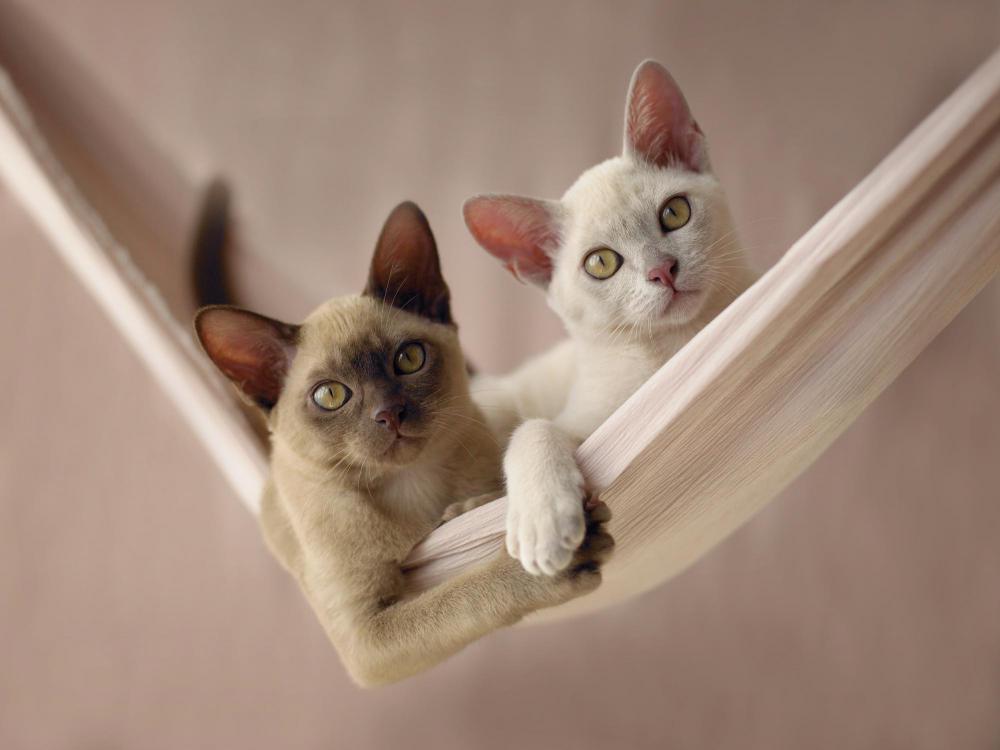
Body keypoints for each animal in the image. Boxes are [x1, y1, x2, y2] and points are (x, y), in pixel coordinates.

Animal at [194, 202, 613, 687]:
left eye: (408, 359)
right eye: (330, 395)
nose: (389, 413)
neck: (412, 487)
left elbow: (487, 508)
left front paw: (468, 511)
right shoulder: (366, 634)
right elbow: (461, 597)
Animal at [463, 60, 756, 576]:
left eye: (674, 212)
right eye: (601, 263)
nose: (662, 270)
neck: (672, 350)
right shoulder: (583, 422)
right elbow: (536, 429)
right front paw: (543, 523)